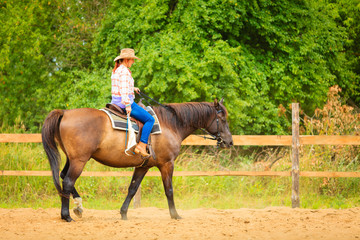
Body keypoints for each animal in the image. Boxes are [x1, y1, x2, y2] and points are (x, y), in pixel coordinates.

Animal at [41, 98, 233, 222]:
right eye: (222, 118)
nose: (229, 142)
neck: (170, 124)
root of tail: (65, 113)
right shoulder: (167, 164)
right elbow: (169, 190)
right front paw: (175, 215)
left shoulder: (143, 166)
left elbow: (132, 188)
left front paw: (124, 213)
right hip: (80, 160)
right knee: (68, 181)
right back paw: (66, 215)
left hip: (72, 158)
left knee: (63, 177)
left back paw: (78, 207)